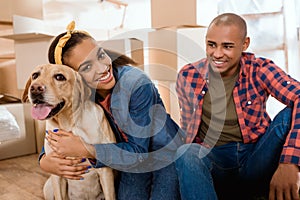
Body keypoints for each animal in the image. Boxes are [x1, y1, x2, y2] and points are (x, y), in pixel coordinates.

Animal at [22, 64, 116, 200]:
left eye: (59, 77)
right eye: (35, 75)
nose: (35, 88)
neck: (70, 125)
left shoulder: (105, 170)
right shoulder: (56, 171)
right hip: (48, 187)